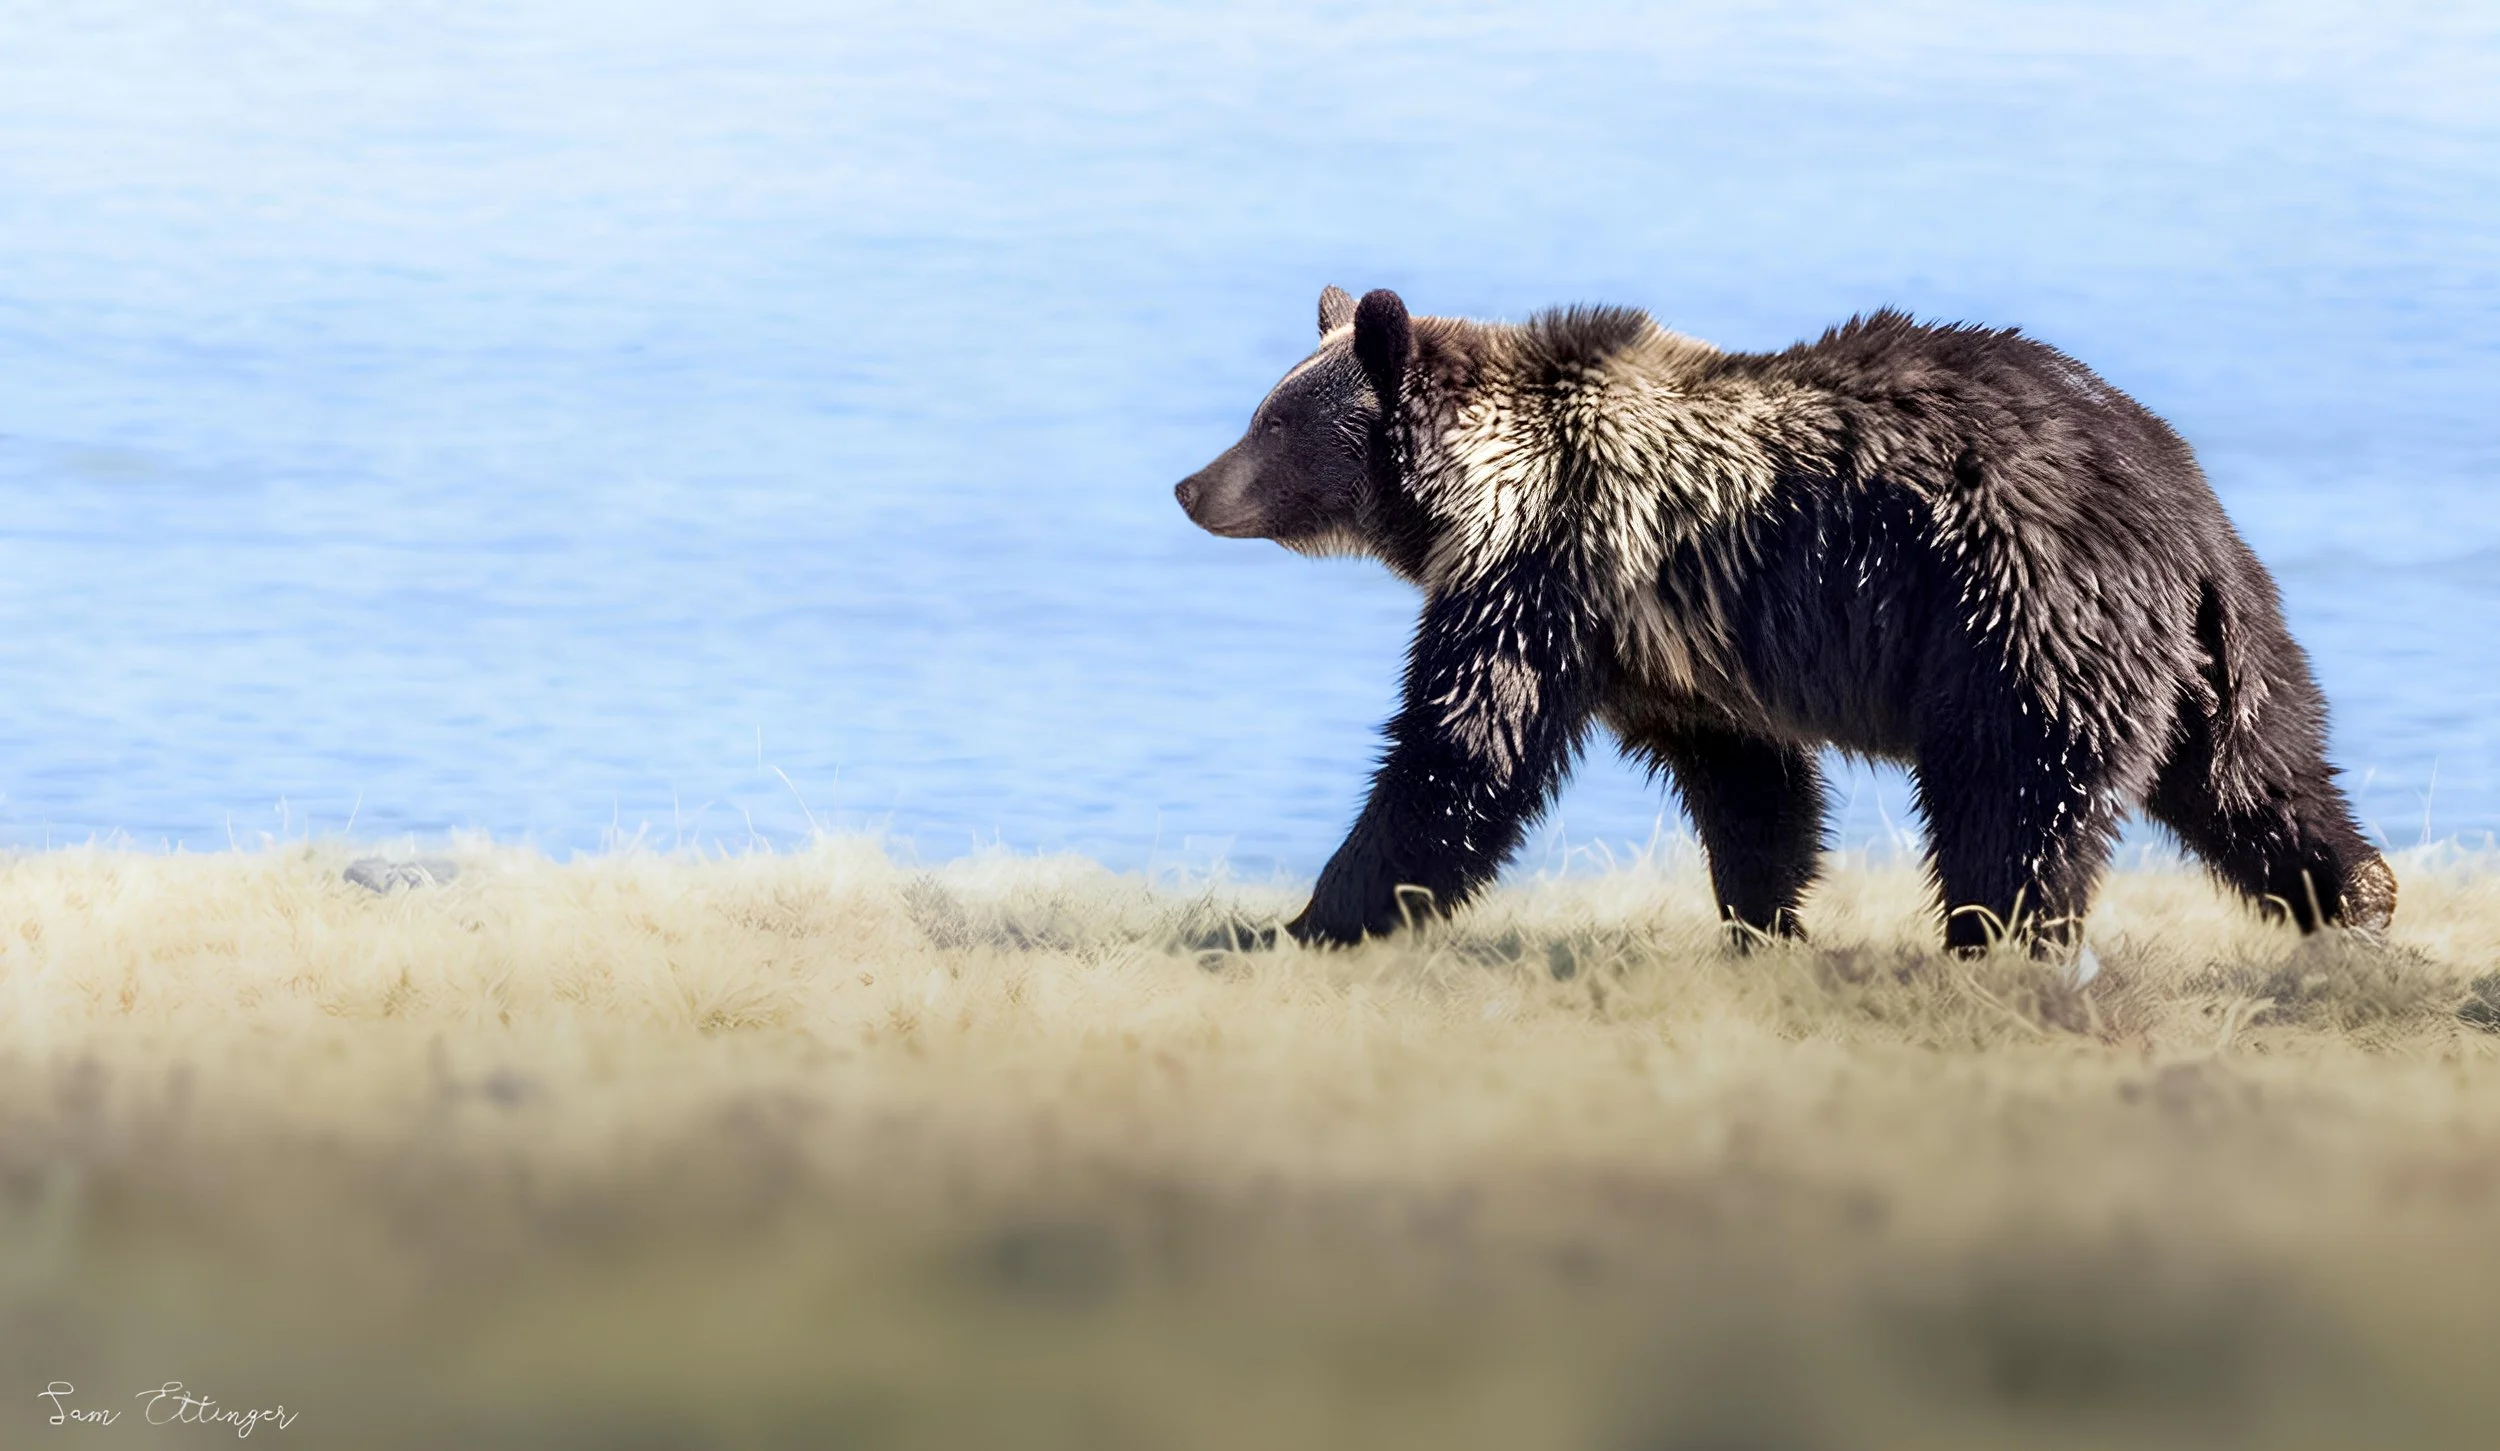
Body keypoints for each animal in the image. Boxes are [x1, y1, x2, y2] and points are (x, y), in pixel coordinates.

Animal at [1175, 286, 2396, 953]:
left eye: (1273, 422)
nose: (1191, 485)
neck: (1481, 485)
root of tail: (2180, 507)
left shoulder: (1554, 569)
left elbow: (1466, 745)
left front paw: (1312, 917)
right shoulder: (1668, 645)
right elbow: (1749, 784)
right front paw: (1764, 919)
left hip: (2018, 616)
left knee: (2017, 797)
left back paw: (1995, 942)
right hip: (2218, 651)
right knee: (2258, 778)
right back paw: (2356, 899)